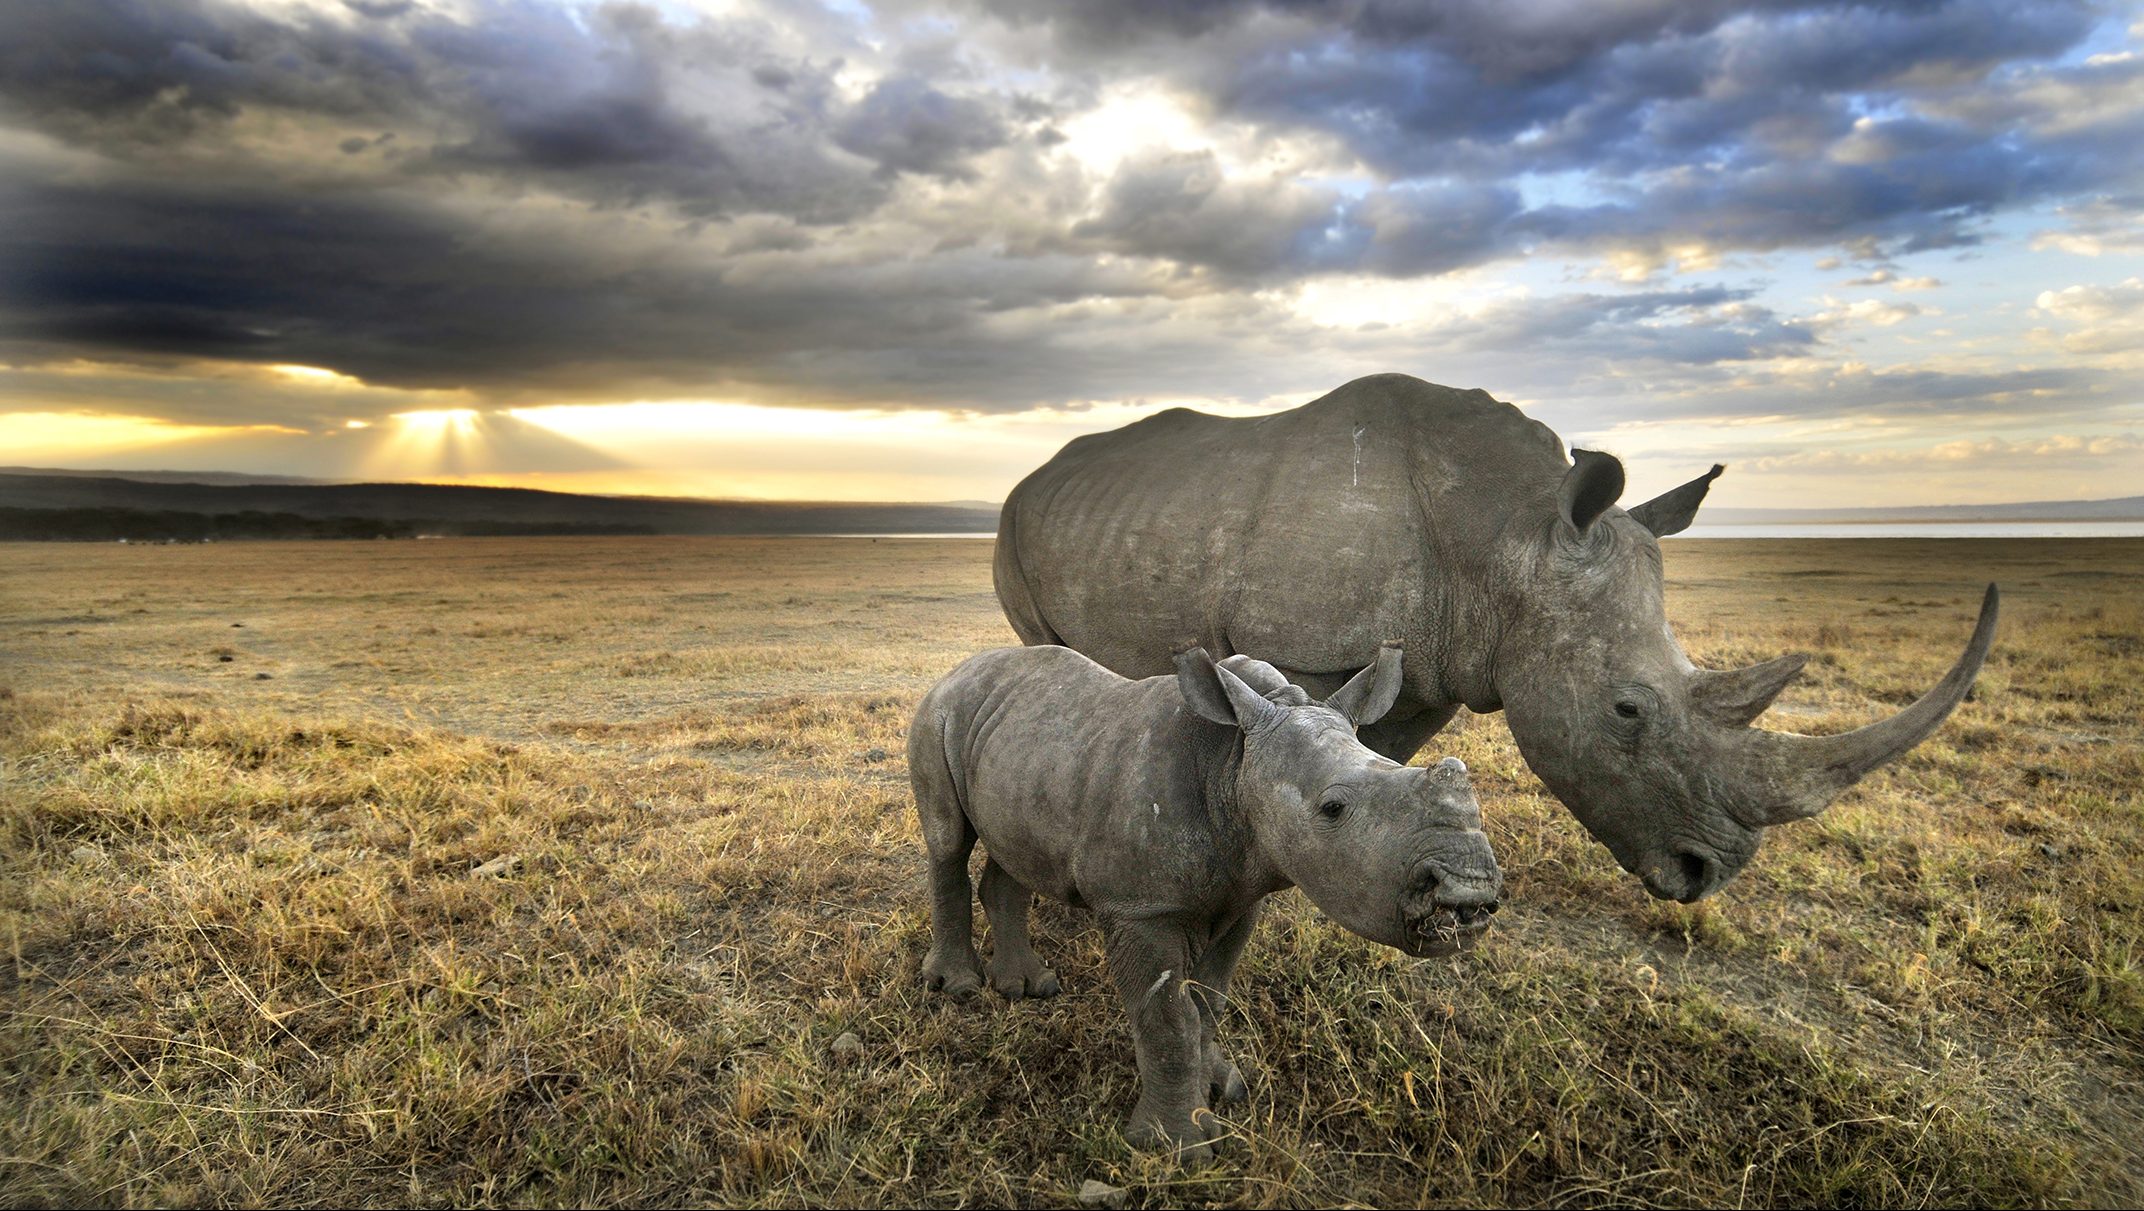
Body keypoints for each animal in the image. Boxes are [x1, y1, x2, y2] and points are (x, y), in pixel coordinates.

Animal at [913, 638, 1500, 1157]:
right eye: (1333, 808)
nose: (1469, 888)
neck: (1234, 763)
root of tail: (958, 669)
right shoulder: (1140, 907)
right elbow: (1169, 1018)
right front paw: (1177, 1147)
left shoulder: (1242, 894)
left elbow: (1209, 999)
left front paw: (1223, 1090)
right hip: (939, 713)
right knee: (947, 840)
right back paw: (959, 987)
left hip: (1022, 744)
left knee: (1013, 850)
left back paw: (1027, 988)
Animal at [994, 372, 1998, 900]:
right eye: (1627, 711)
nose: (1705, 874)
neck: (1509, 536)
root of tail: (1037, 472)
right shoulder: (1308, 643)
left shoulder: (1441, 659)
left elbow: (1378, 758)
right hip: (1014, 523)